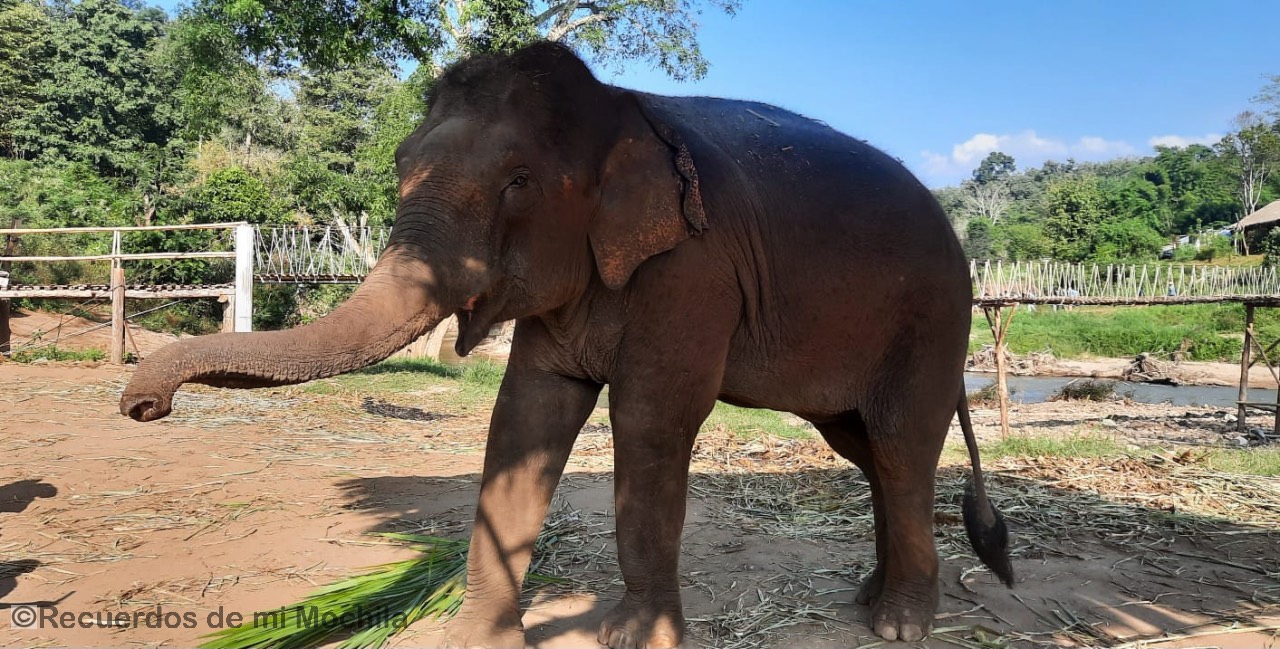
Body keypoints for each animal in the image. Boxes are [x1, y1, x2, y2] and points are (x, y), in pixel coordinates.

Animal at [120, 41, 1012, 648]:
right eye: (402, 165)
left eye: (518, 182)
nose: (140, 403)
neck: (623, 106)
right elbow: (523, 418)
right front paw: (478, 638)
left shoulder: (692, 271)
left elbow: (650, 422)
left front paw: (635, 639)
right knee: (864, 448)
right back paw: (870, 595)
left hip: (932, 321)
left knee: (899, 447)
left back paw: (900, 622)